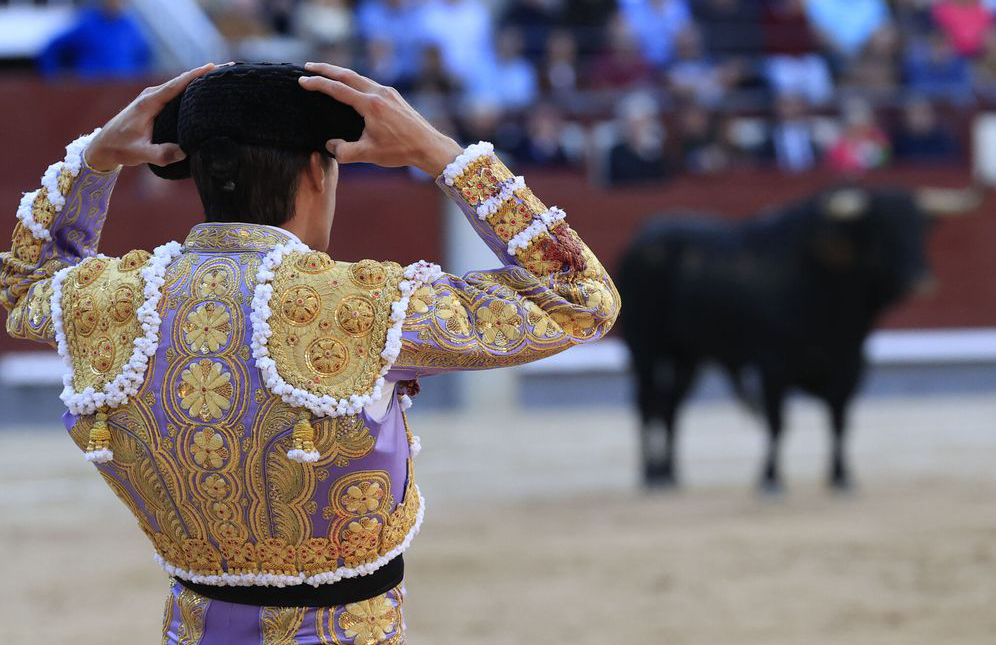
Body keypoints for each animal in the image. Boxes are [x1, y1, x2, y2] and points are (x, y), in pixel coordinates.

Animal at [620, 186, 976, 494]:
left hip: (687, 355)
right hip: (644, 345)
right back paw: (649, 476)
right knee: (646, 401)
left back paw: (670, 474)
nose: (919, 279)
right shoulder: (772, 366)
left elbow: (839, 421)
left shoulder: (849, 363)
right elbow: (778, 423)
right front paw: (770, 480)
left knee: (671, 406)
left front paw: (841, 477)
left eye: (921, 228)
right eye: (880, 228)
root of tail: (642, 239)